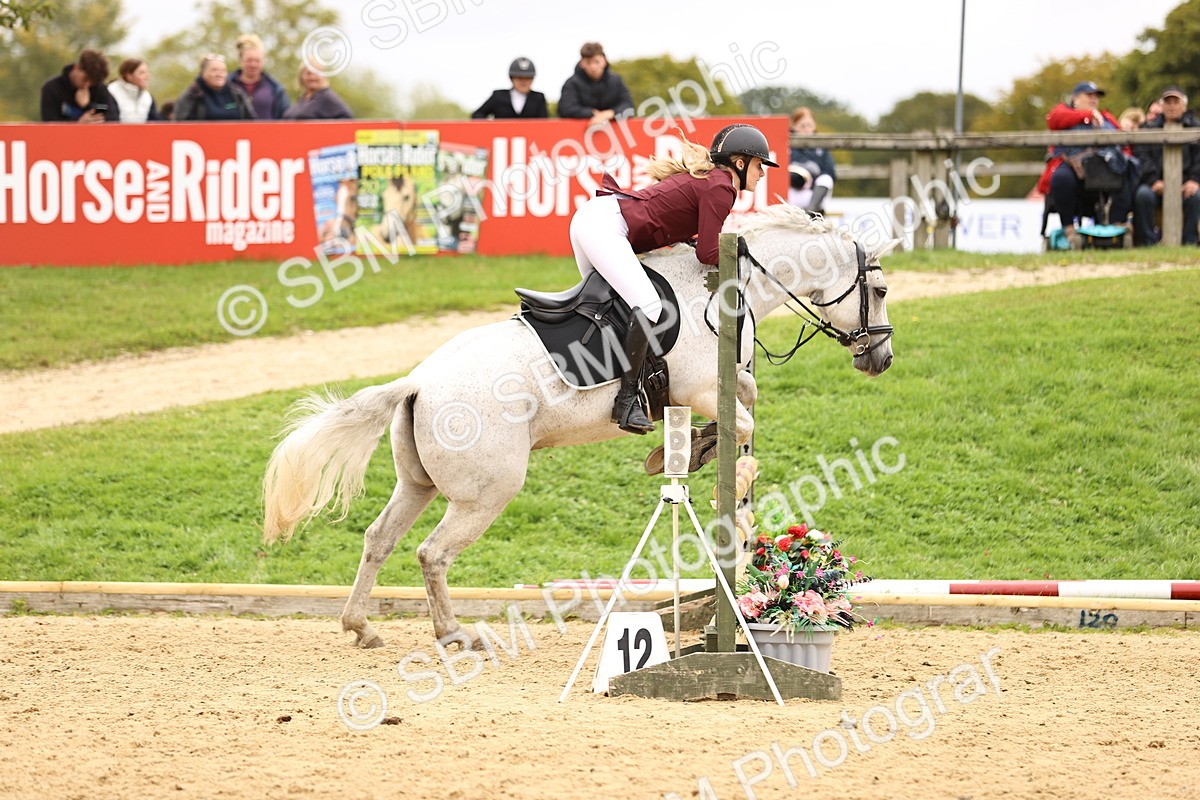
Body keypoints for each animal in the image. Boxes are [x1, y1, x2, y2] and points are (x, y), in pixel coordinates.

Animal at [261, 204, 897, 649]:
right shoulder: (696, 389)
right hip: (486, 493)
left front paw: (695, 453)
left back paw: (361, 626)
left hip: (417, 484)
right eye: (882, 289)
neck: (724, 285)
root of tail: (417, 382)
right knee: (432, 554)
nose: (881, 359)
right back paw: (454, 634)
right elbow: (742, 424)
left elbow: (747, 400)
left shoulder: (711, 388)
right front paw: (728, 486)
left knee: (379, 539)